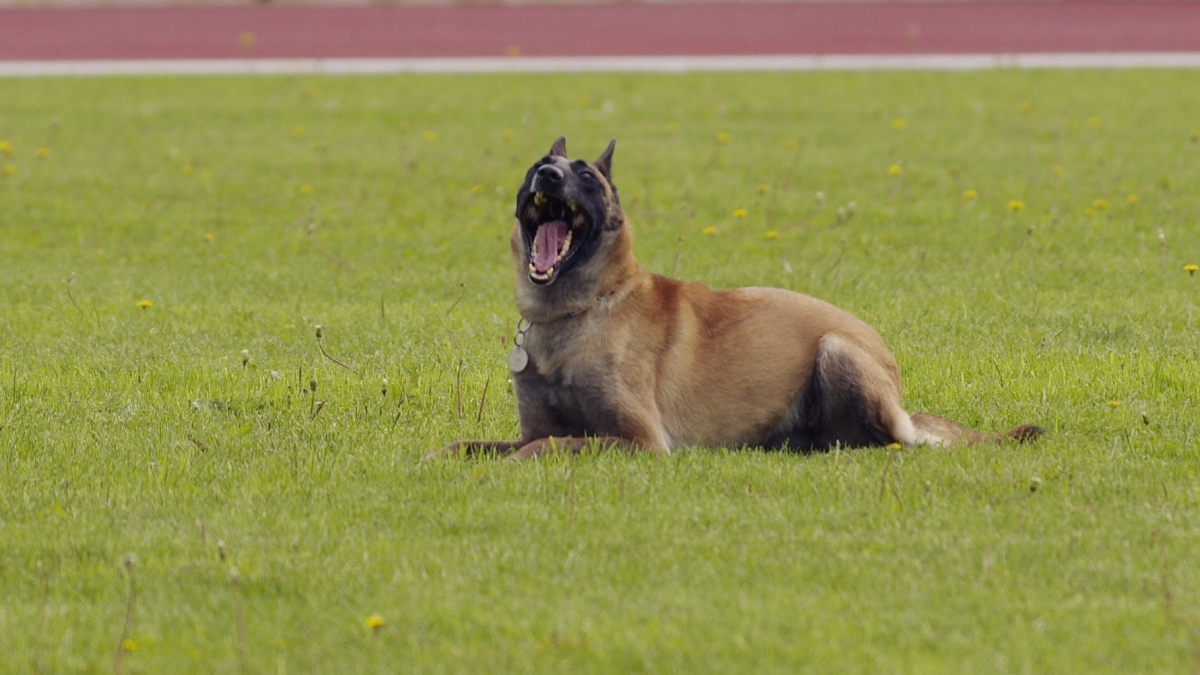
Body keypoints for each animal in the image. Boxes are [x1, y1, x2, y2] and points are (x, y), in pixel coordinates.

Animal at [441, 138, 1041, 458]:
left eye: (584, 174)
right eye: (535, 166)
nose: (548, 174)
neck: (578, 311)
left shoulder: (640, 441)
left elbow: (548, 445)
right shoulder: (539, 425)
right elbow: (480, 444)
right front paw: (448, 455)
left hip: (837, 351)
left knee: (895, 441)